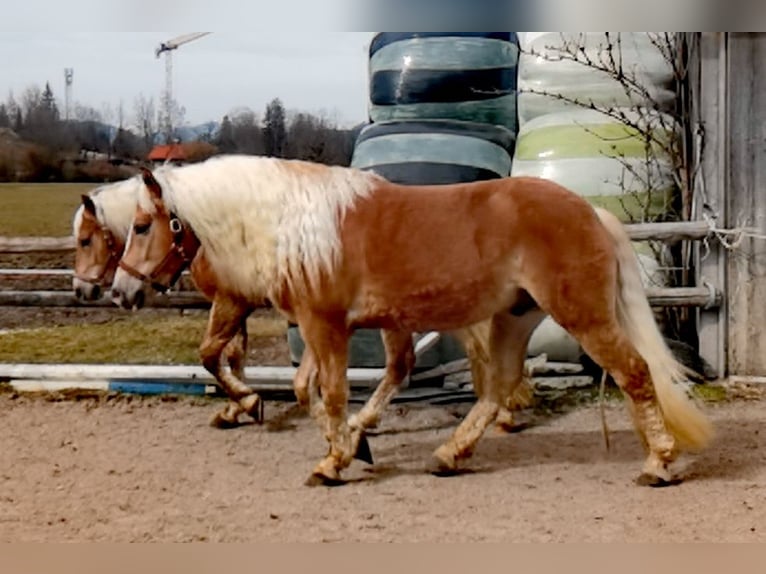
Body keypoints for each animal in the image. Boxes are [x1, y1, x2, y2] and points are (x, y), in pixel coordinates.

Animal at [73, 174, 529, 439]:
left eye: (142, 227)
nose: (113, 292)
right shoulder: (245, 304)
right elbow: (234, 357)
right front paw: (237, 408)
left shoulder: (233, 301)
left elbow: (211, 355)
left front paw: (249, 404)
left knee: (428, 360)